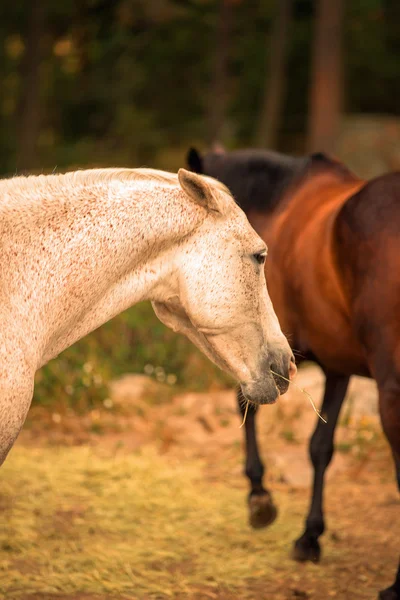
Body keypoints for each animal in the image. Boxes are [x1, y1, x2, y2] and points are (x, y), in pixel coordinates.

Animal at [188, 148, 400, 600]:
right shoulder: (337, 367)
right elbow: (321, 447)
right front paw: (310, 537)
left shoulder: (267, 351)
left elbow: (245, 404)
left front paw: (259, 496)